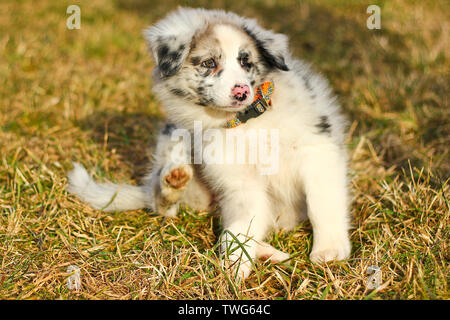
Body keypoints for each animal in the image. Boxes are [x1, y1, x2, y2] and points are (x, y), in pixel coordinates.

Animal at [68, 6, 354, 278]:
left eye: (246, 62)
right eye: (208, 63)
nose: (241, 92)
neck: (247, 123)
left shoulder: (317, 151)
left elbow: (321, 203)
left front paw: (329, 251)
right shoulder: (239, 182)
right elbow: (240, 229)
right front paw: (234, 264)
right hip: (173, 137)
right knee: (162, 203)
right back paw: (173, 180)